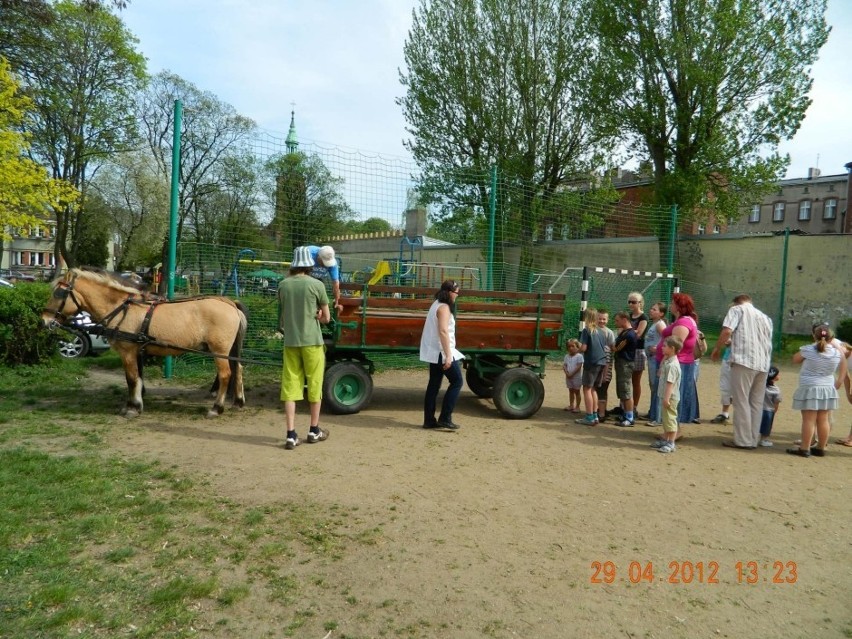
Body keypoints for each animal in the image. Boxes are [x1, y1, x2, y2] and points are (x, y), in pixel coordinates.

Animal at [43, 268, 248, 418]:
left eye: (59, 293)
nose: (45, 320)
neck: (121, 308)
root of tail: (230, 304)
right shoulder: (137, 351)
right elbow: (137, 378)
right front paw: (135, 403)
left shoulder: (127, 352)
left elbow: (132, 378)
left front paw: (132, 408)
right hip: (228, 350)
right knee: (238, 369)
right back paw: (238, 402)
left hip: (219, 350)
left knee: (225, 375)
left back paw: (216, 408)